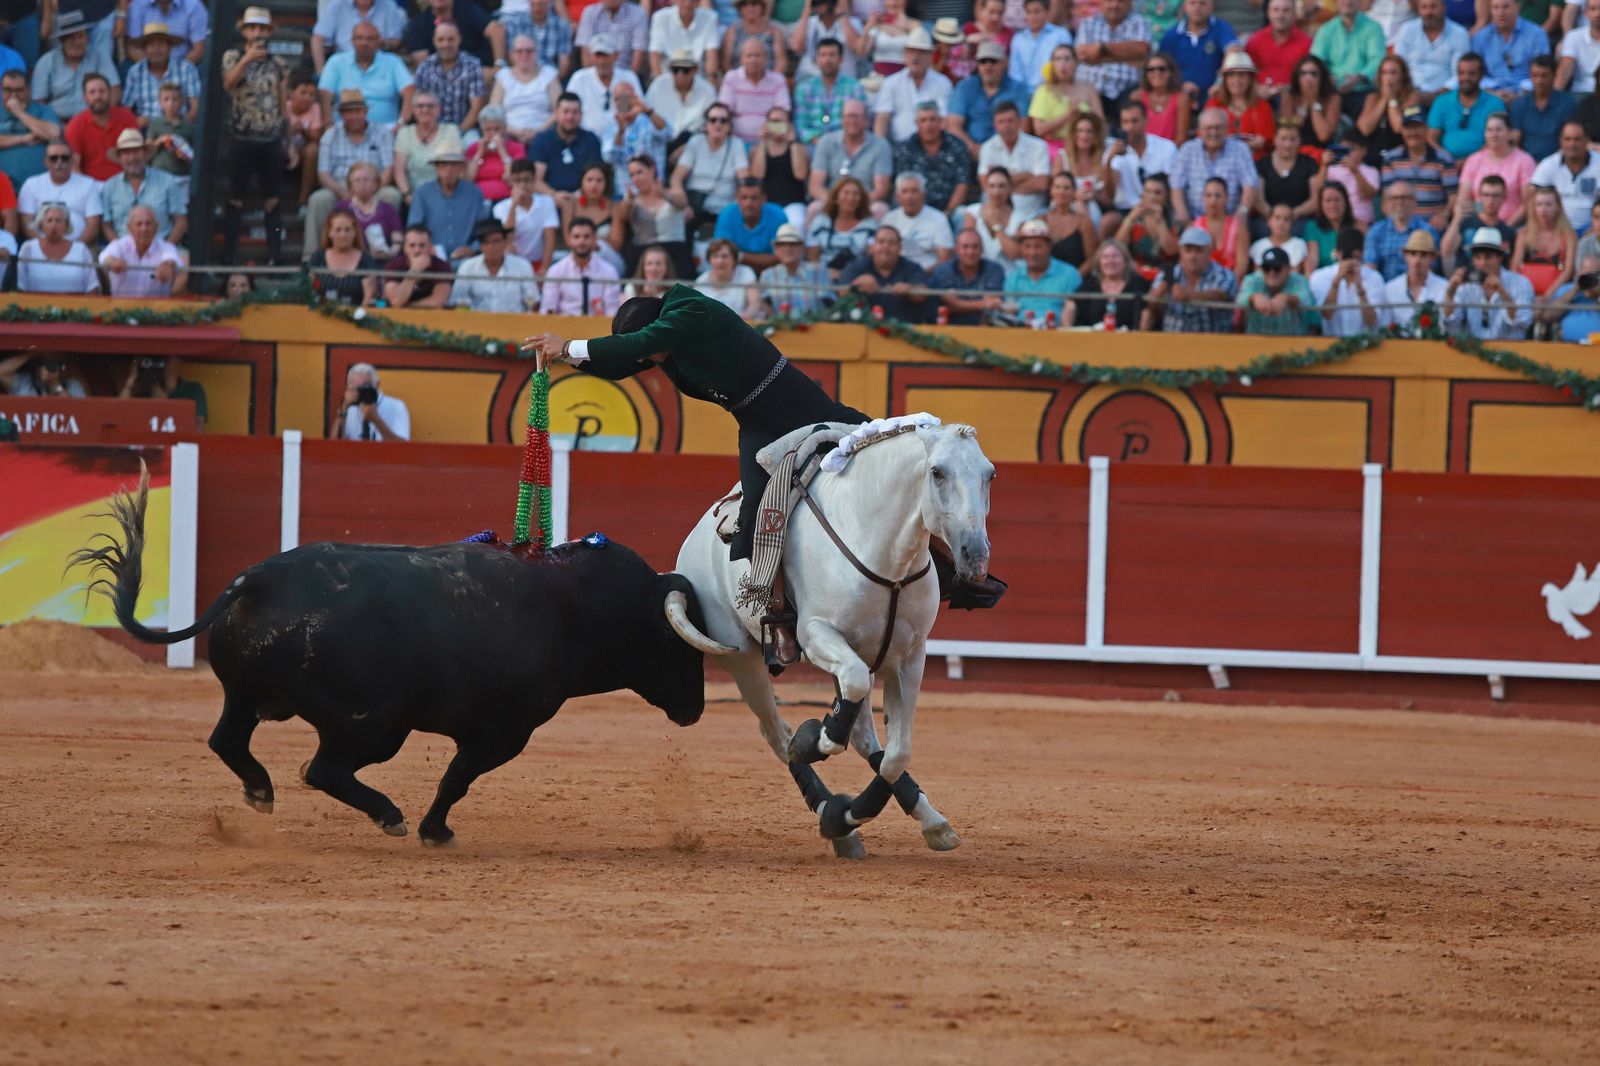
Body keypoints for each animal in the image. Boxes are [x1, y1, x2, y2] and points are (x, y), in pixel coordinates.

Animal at [662, 420, 996, 859]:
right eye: (937, 472)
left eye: (990, 474)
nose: (975, 556)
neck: (883, 550)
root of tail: (697, 534)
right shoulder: (816, 633)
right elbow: (841, 710)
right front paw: (813, 743)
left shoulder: (910, 656)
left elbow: (896, 754)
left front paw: (854, 816)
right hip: (742, 658)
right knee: (777, 734)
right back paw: (823, 795)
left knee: (863, 736)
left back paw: (902, 822)